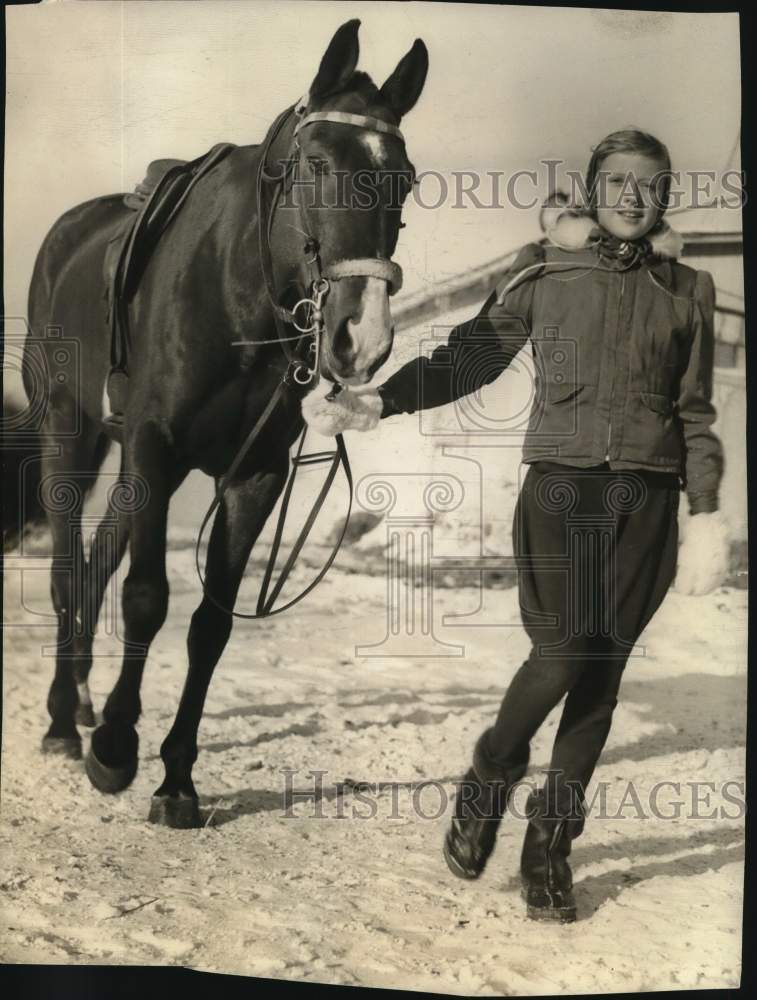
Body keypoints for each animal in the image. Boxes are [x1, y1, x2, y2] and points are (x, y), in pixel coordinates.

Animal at [20, 19, 428, 828]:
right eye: (313, 163)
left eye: (405, 178)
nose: (359, 336)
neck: (236, 292)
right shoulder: (153, 447)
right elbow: (147, 597)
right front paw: (116, 750)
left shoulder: (253, 476)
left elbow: (210, 624)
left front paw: (177, 778)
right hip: (70, 434)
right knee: (68, 567)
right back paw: (63, 722)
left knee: (99, 559)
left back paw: (80, 703)